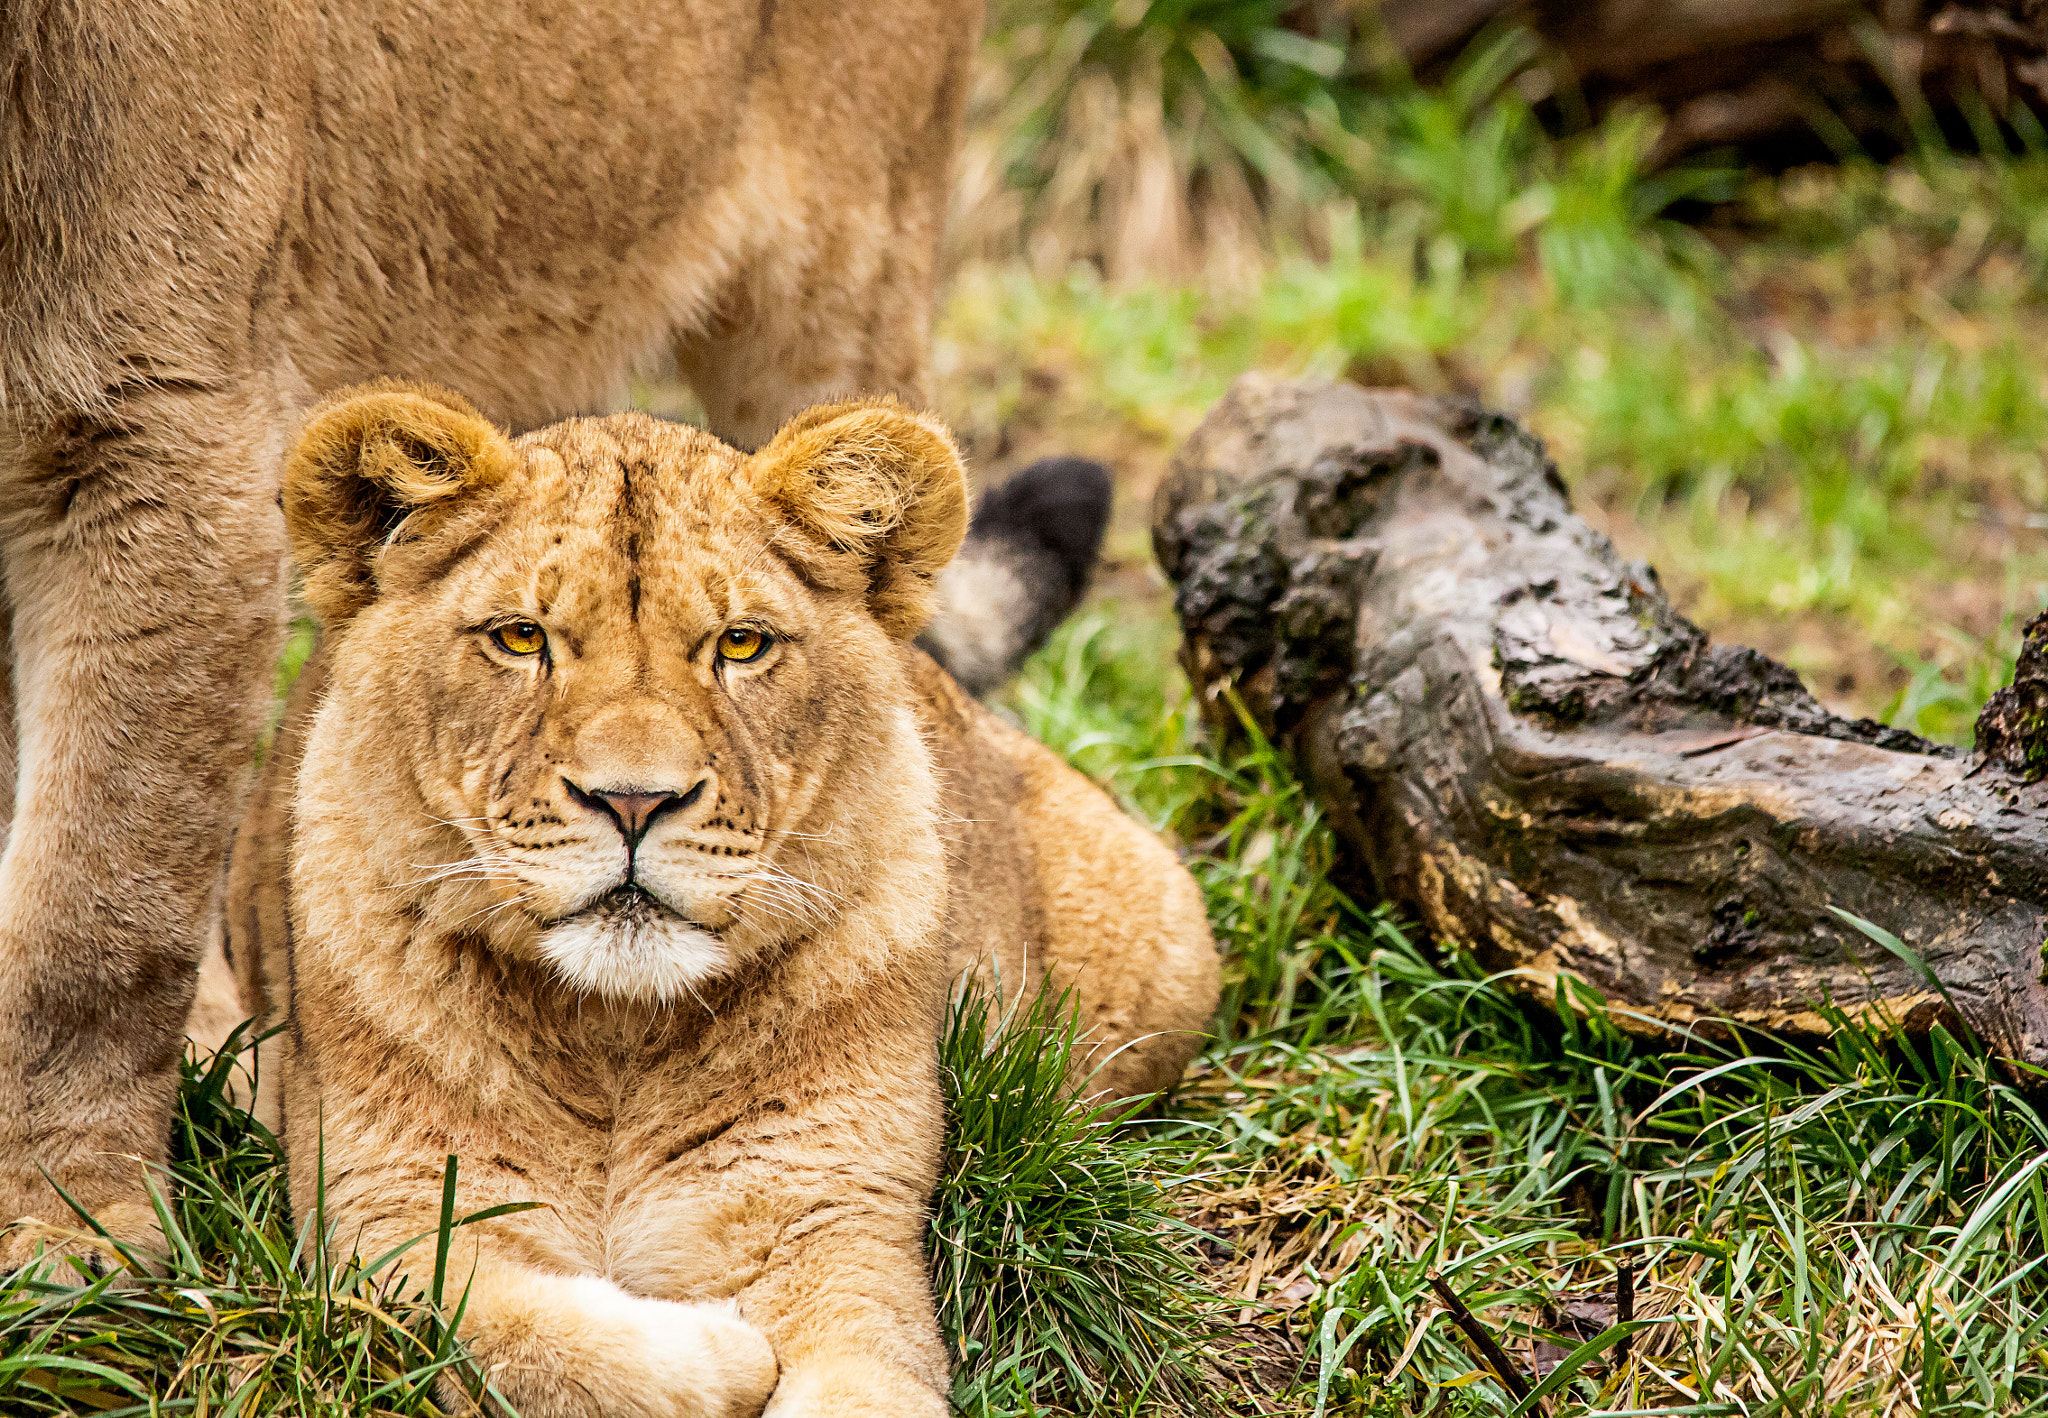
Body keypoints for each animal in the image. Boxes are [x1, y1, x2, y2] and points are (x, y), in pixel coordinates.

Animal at [0, 0, 1119, 1265]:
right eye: (522, 638)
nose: (632, 805)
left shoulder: (160, 430)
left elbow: (90, 910)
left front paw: (71, 1239)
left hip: (844, 271)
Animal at [214, 383, 1220, 1415]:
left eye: (741, 644)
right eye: (522, 637)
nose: (633, 800)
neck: (612, 1038)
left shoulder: (831, 1214)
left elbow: (863, 1382)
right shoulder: (384, 1212)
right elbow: (494, 1326)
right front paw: (723, 1350)